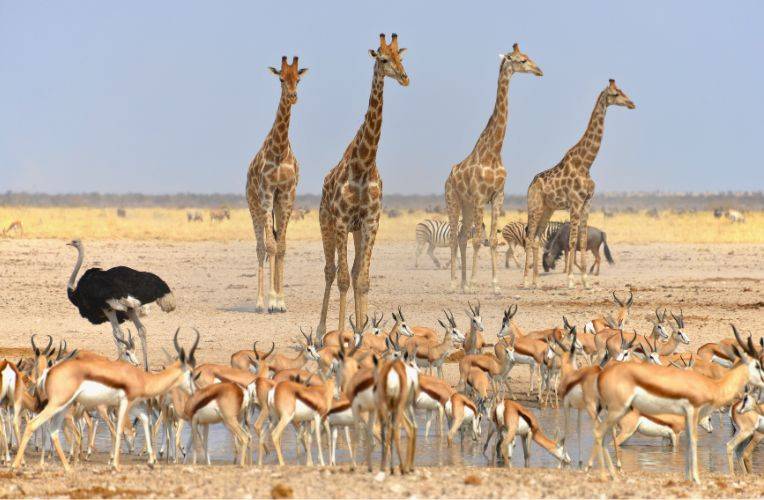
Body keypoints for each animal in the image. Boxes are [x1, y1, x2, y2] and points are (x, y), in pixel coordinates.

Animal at [316, 33, 408, 338]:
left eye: (401, 57)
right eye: (384, 59)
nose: (405, 77)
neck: (363, 165)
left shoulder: (370, 221)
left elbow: (362, 279)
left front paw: (361, 331)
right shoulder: (342, 221)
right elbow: (344, 279)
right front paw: (341, 334)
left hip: (355, 231)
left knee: (354, 272)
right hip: (327, 223)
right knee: (330, 271)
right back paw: (321, 331)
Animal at [442, 44, 544, 292]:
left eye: (528, 57)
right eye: (521, 60)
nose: (539, 70)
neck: (494, 152)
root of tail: (447, 177)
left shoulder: (497, 195)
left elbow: (494, 239)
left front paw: (495, 285)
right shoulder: (480, 197)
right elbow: (479, 239)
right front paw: (474, 283)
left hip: (467, 206)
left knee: (461, 237)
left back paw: (462, 284)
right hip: (453, 200)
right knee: (454, 237)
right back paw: (454, 283)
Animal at [524, 79, 636, 290]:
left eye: (622, 90)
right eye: (615, 94)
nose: (631, 103)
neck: (586, 163)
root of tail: (530, 185)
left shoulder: (587, 203)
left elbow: (582, 241)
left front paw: (585, 281)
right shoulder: (575, 203)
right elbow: (572, 240)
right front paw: (570, 280)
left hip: (547, 209)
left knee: (535, 239)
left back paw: (535, 282)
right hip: (534, 207)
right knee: (529, 236)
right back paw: (525, 281)